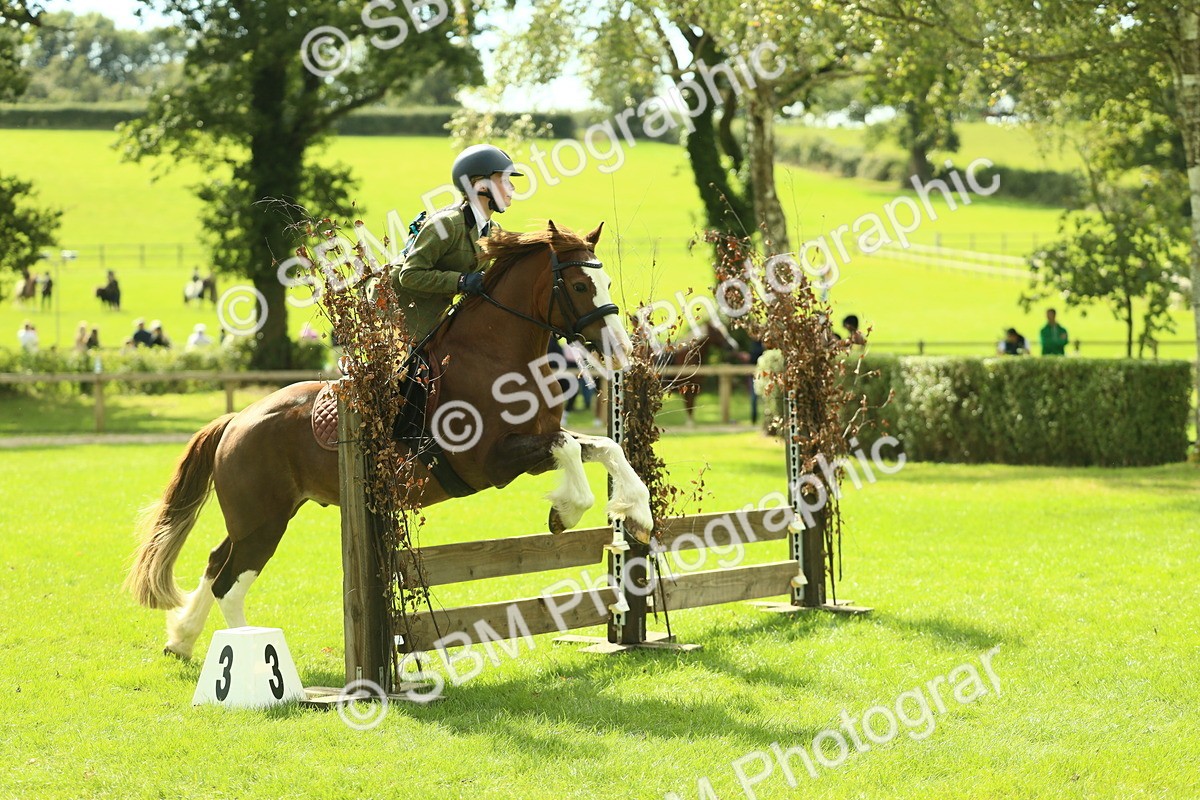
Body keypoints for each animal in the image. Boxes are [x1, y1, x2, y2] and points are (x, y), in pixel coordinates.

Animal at [124, 220, 654, 659]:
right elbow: (570, 451)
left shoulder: (534, 442)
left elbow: (604, 448)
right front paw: (566, 512)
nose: (621, 350)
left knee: (216, 563)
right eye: (581, 285)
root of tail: (237, 420)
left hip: (258, 516)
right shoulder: (491, 462)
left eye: (604, 283)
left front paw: (638, 516)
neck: (495, 356)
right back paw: (245, 656)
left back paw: (181, 640)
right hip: (263, 521)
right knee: (229, 583)